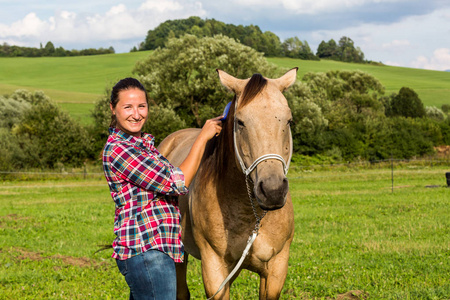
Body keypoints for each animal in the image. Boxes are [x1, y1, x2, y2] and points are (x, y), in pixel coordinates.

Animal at [156, 68, 298, 300]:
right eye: (240, 122)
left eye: (288, 121)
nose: (273, 191)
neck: (251, 216)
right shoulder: (214, 270)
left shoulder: (276, 270)